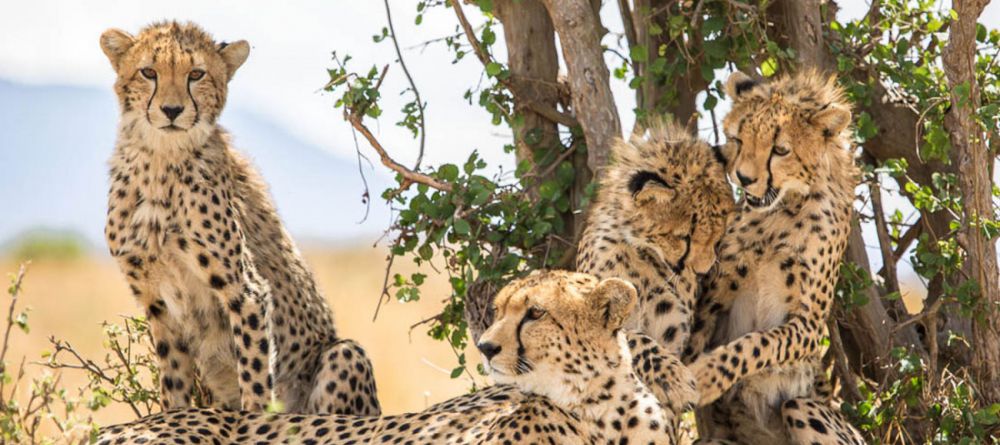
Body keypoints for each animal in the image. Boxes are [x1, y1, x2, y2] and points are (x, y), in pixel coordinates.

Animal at [99, 20, 378, 414]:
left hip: (345, 354)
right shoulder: (158, 305)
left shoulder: (246, 292)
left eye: (196, 74)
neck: (160, 161)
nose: (171, 110)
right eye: (148, 72)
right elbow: (174, 386)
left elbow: (256, 378)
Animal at [688, 71, 868, 442]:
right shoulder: (715, 294)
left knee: (795, 402)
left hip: (805, 407)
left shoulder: (809, 326)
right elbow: (692, 337)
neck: (782, 211)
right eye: (737, 139)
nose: (744, 178)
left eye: (780, 149)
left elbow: (759, 343)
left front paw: (708, 375)